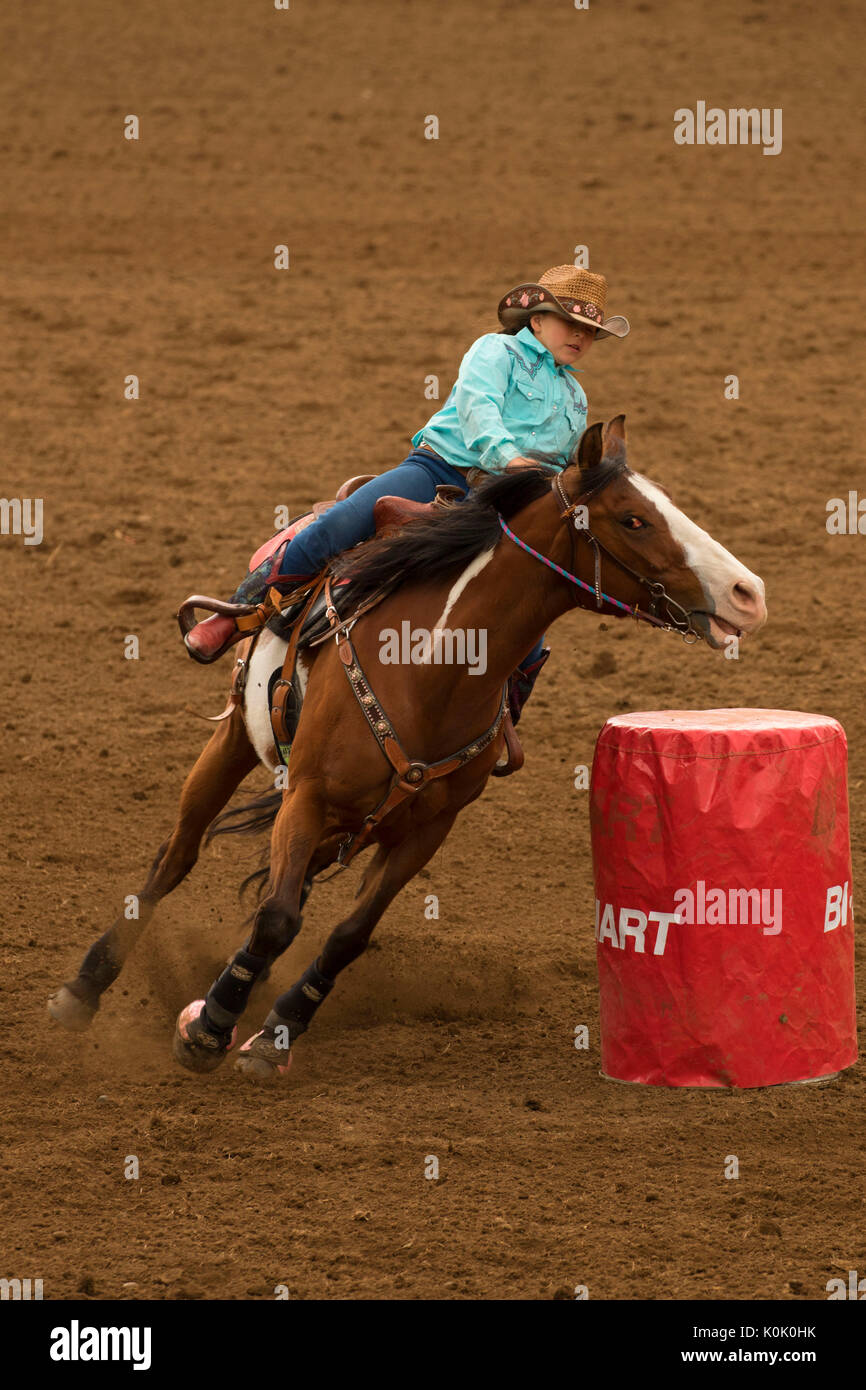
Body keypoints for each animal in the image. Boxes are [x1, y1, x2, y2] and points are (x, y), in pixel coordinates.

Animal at [47, 417, 767, 1078]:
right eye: (634, 519)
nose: (748, 594)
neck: (432, 666)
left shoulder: (428, 829)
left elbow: (347, 934)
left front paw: (276, 1032)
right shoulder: (307, 795)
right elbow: (277, 919)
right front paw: (211, 1025)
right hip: (233, 741)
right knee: (177, 856)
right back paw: (83, 990)